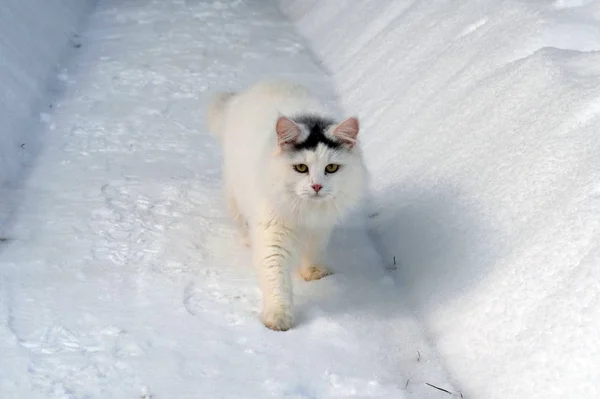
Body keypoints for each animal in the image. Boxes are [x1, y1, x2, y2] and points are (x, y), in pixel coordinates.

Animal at [205, 80, 366, 332]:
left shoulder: (320, 227)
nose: (317, 186)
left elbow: (314, 251)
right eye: (301, 168)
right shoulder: (273, 234)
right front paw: (279, 317)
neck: (305, 212)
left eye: (331, 168)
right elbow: (276, 279)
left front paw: (313, 273)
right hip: (235, 191)